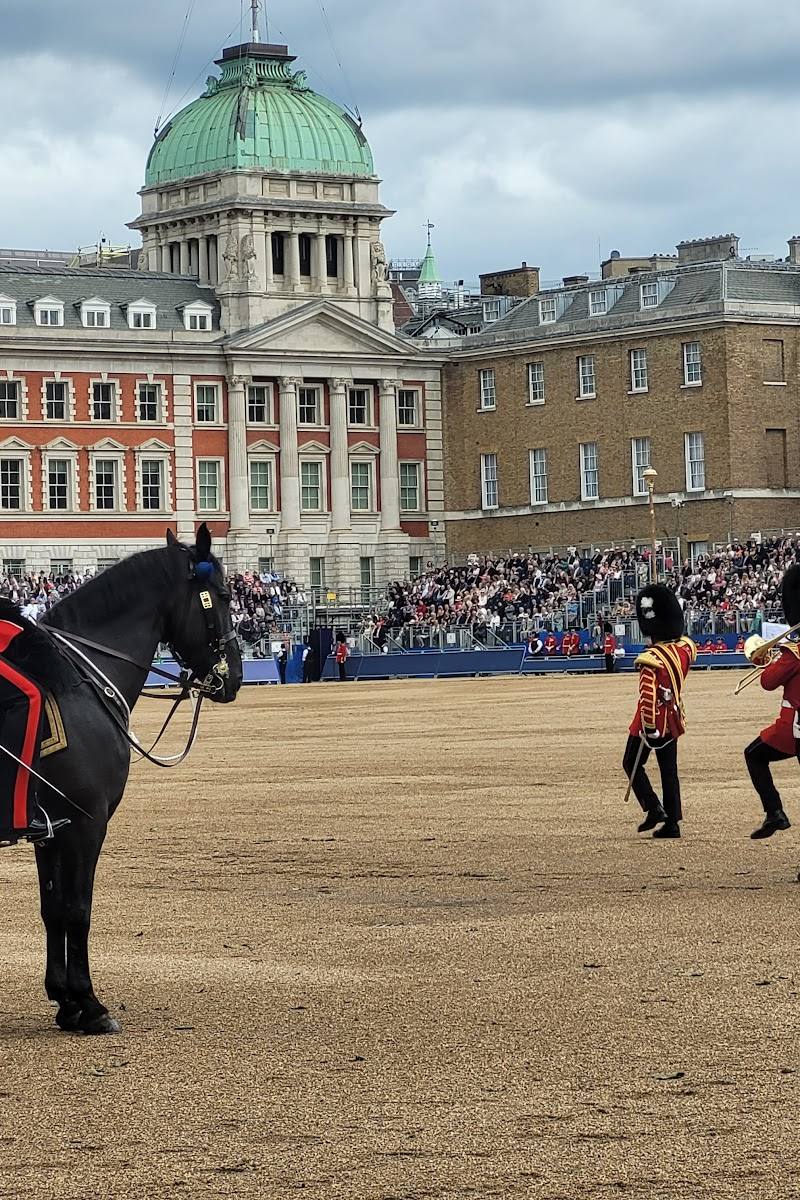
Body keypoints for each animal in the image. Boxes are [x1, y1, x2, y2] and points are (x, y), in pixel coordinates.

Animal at [1, 523, 242, 1034]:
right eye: (226, 594)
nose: (233, 676)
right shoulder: (86, 823)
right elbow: (78, 909)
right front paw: (89, 1003)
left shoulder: (51, 830)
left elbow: (53, 909)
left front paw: (64, 1000)